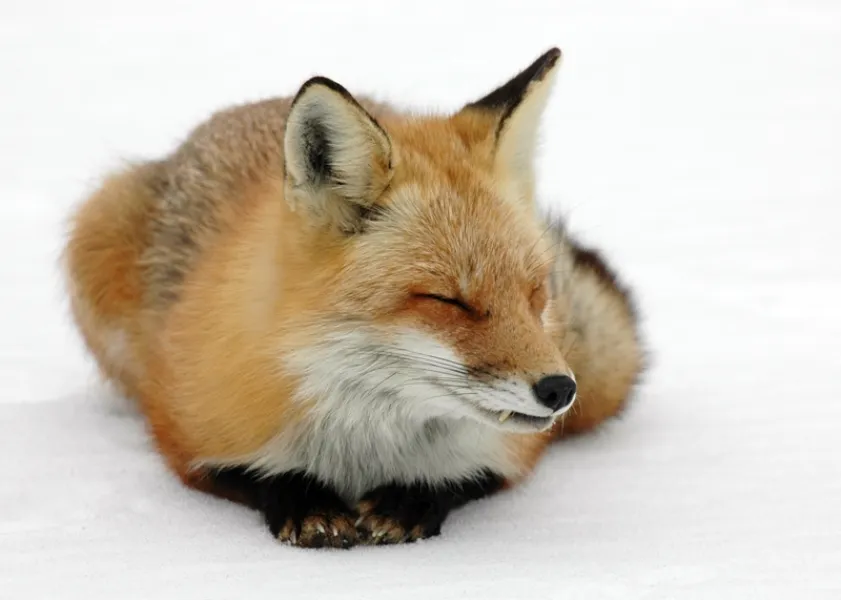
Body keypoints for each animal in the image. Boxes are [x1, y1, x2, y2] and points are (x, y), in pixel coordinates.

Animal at [63, 47, 645, 548]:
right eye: (447, 301)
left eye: (534, 291)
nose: (559, 389)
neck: (362, 444)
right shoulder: (188, 434)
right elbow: (257, 474)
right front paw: (308, 504)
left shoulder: (511, 451)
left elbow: (462, 476)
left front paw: (411, 499)